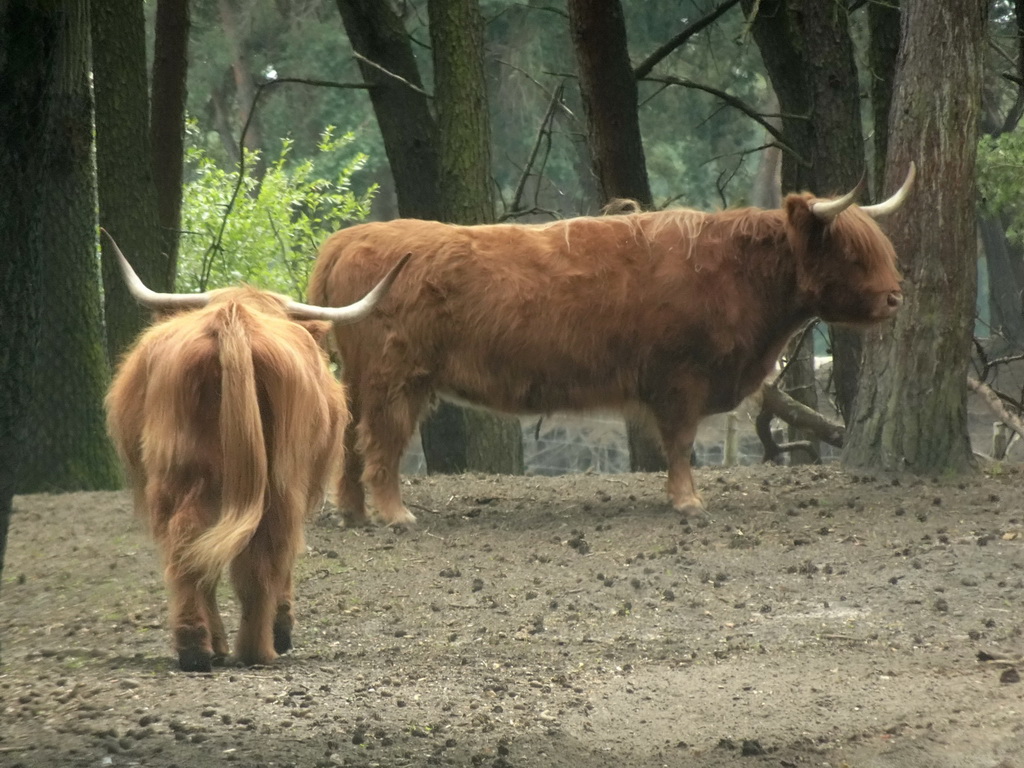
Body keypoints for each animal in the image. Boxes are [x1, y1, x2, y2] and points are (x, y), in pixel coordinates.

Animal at [104, 236, 407, 671]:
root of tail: (233, 319)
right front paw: (282, 627)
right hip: (282, 478)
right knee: (267, 550)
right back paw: (259, 647)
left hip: (181, 470)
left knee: (188, 541)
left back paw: (197, 645)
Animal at [307, 167, 917, 528]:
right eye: (852, 254)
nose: (895, 298)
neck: (736, 273)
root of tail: (349, 237)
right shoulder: (681, 378)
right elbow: (679, 444)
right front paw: (688, 502)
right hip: (395, 378)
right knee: (380, 443)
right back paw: (395, 514)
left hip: (363, 377)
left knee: (351, 440)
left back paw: (354, 513)